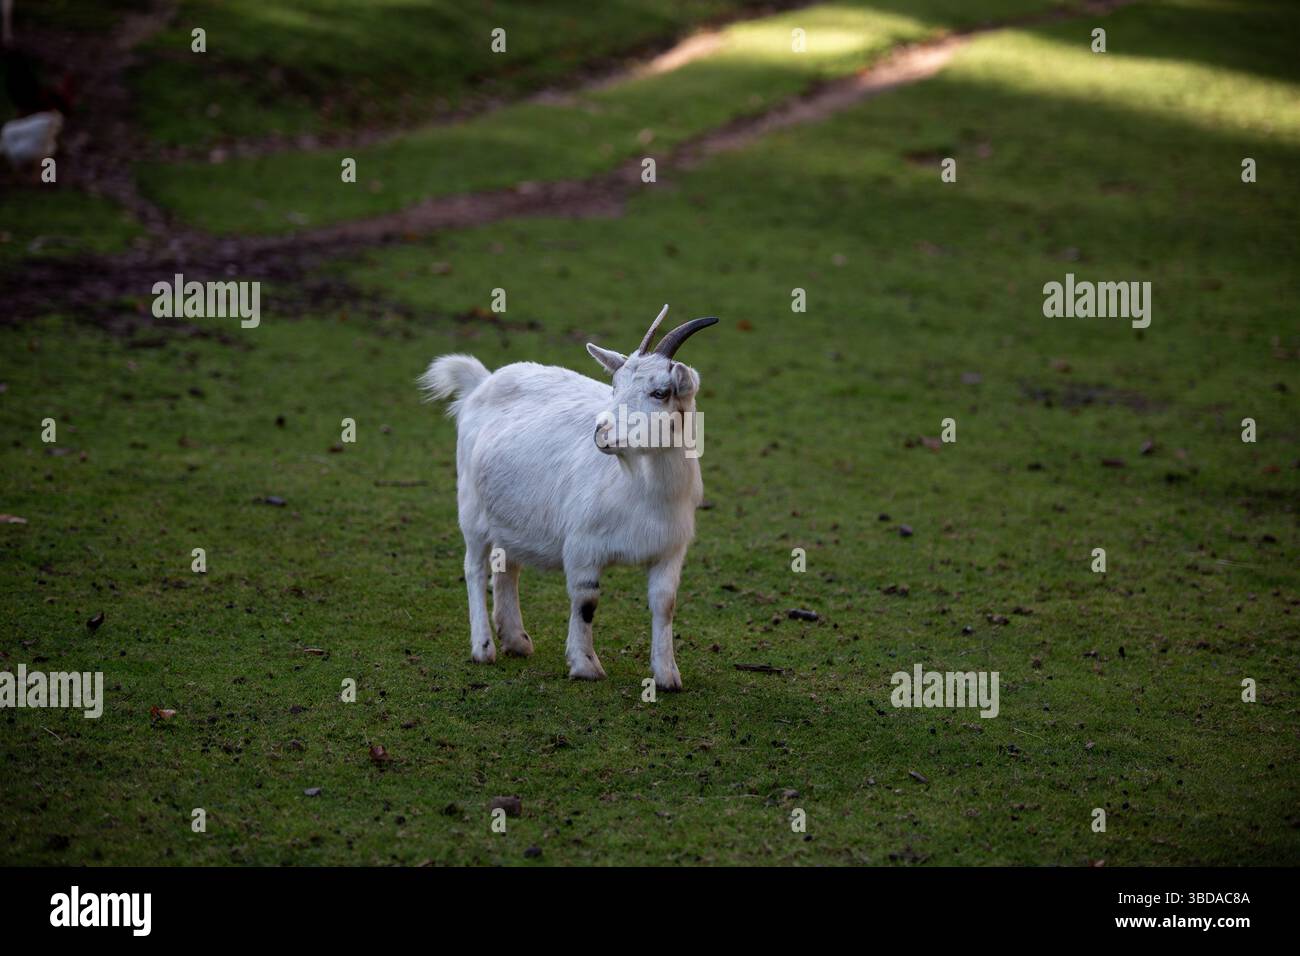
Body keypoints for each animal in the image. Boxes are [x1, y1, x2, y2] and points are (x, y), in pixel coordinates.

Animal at [420, 305, 716, 690]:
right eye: (614, 386)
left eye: (661, 392)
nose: (602, 432)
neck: (641, 486)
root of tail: (481, 382)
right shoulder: (582, 546)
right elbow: (586, 600)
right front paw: (585, 665)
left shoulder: (669, 548)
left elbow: (665, 603)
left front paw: (667, 675)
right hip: (471, 506)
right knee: (474, 567)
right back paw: (483, 647)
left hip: (511, 513)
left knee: (506, 565)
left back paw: (515, 639)